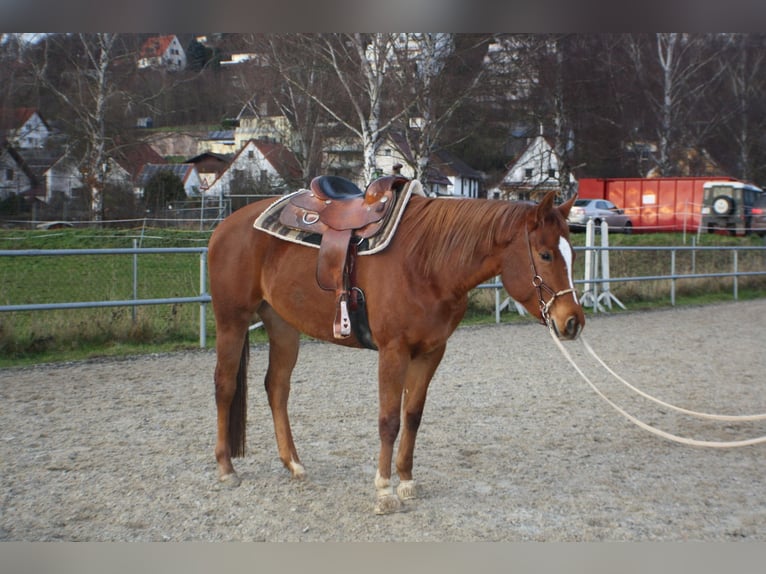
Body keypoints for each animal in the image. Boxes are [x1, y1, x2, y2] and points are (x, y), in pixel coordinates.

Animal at [207, 177, 585, 514]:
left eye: (573, 254)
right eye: (545, 254)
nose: (572, 321)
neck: (428, 261)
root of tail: (227, 225)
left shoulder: (431, 352)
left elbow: (412, 416)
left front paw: (406, 481)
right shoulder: (394, 351)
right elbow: (389, 420)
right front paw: (385, 491)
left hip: (282, 326)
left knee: (277, 387)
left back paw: (293, 463)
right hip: (232, 321)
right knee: (225, 386)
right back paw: (226, 469)